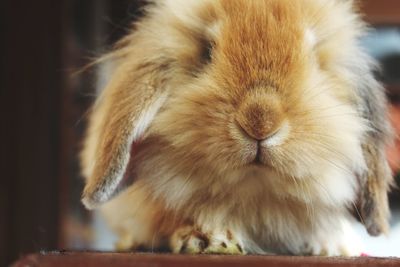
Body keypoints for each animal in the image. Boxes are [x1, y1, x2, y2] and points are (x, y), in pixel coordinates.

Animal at [79, 0, 392, 256]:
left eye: (314, 57)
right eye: (207, 51)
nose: (260, 121)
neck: (256, 191)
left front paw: (333, 245)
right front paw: (210, 238)